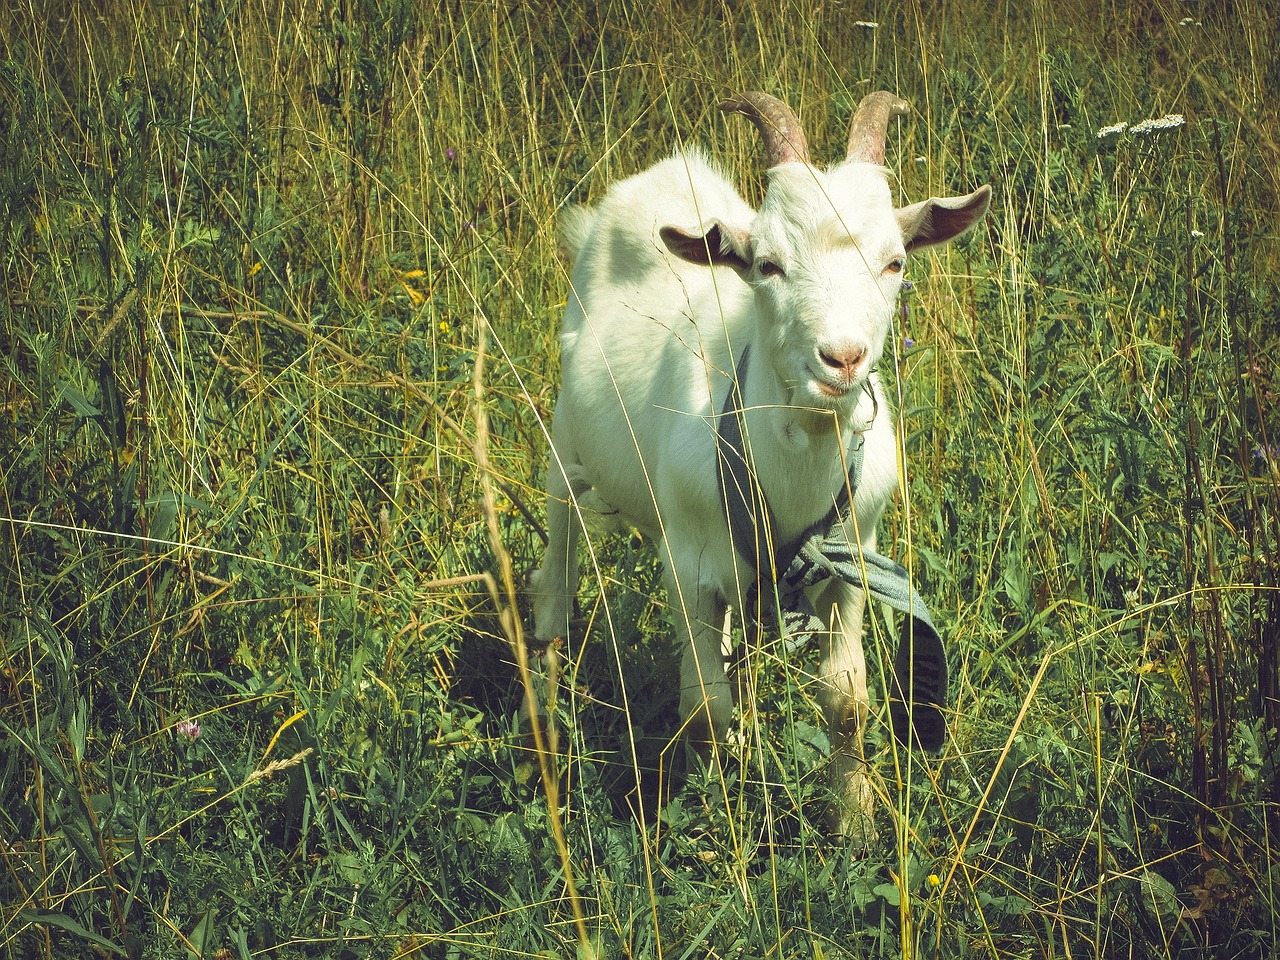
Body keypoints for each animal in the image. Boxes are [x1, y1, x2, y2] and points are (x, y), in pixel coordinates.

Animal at [529, 92, 988, 839]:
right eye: (768, 264)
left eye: (895, 262)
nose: (843, 359)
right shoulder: (687, 567)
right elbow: (703, 707)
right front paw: (718, 813)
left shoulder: (851, 561)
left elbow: (847, 700)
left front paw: (855, 822)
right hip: (567, 448)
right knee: (557, 573)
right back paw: (539, 710)